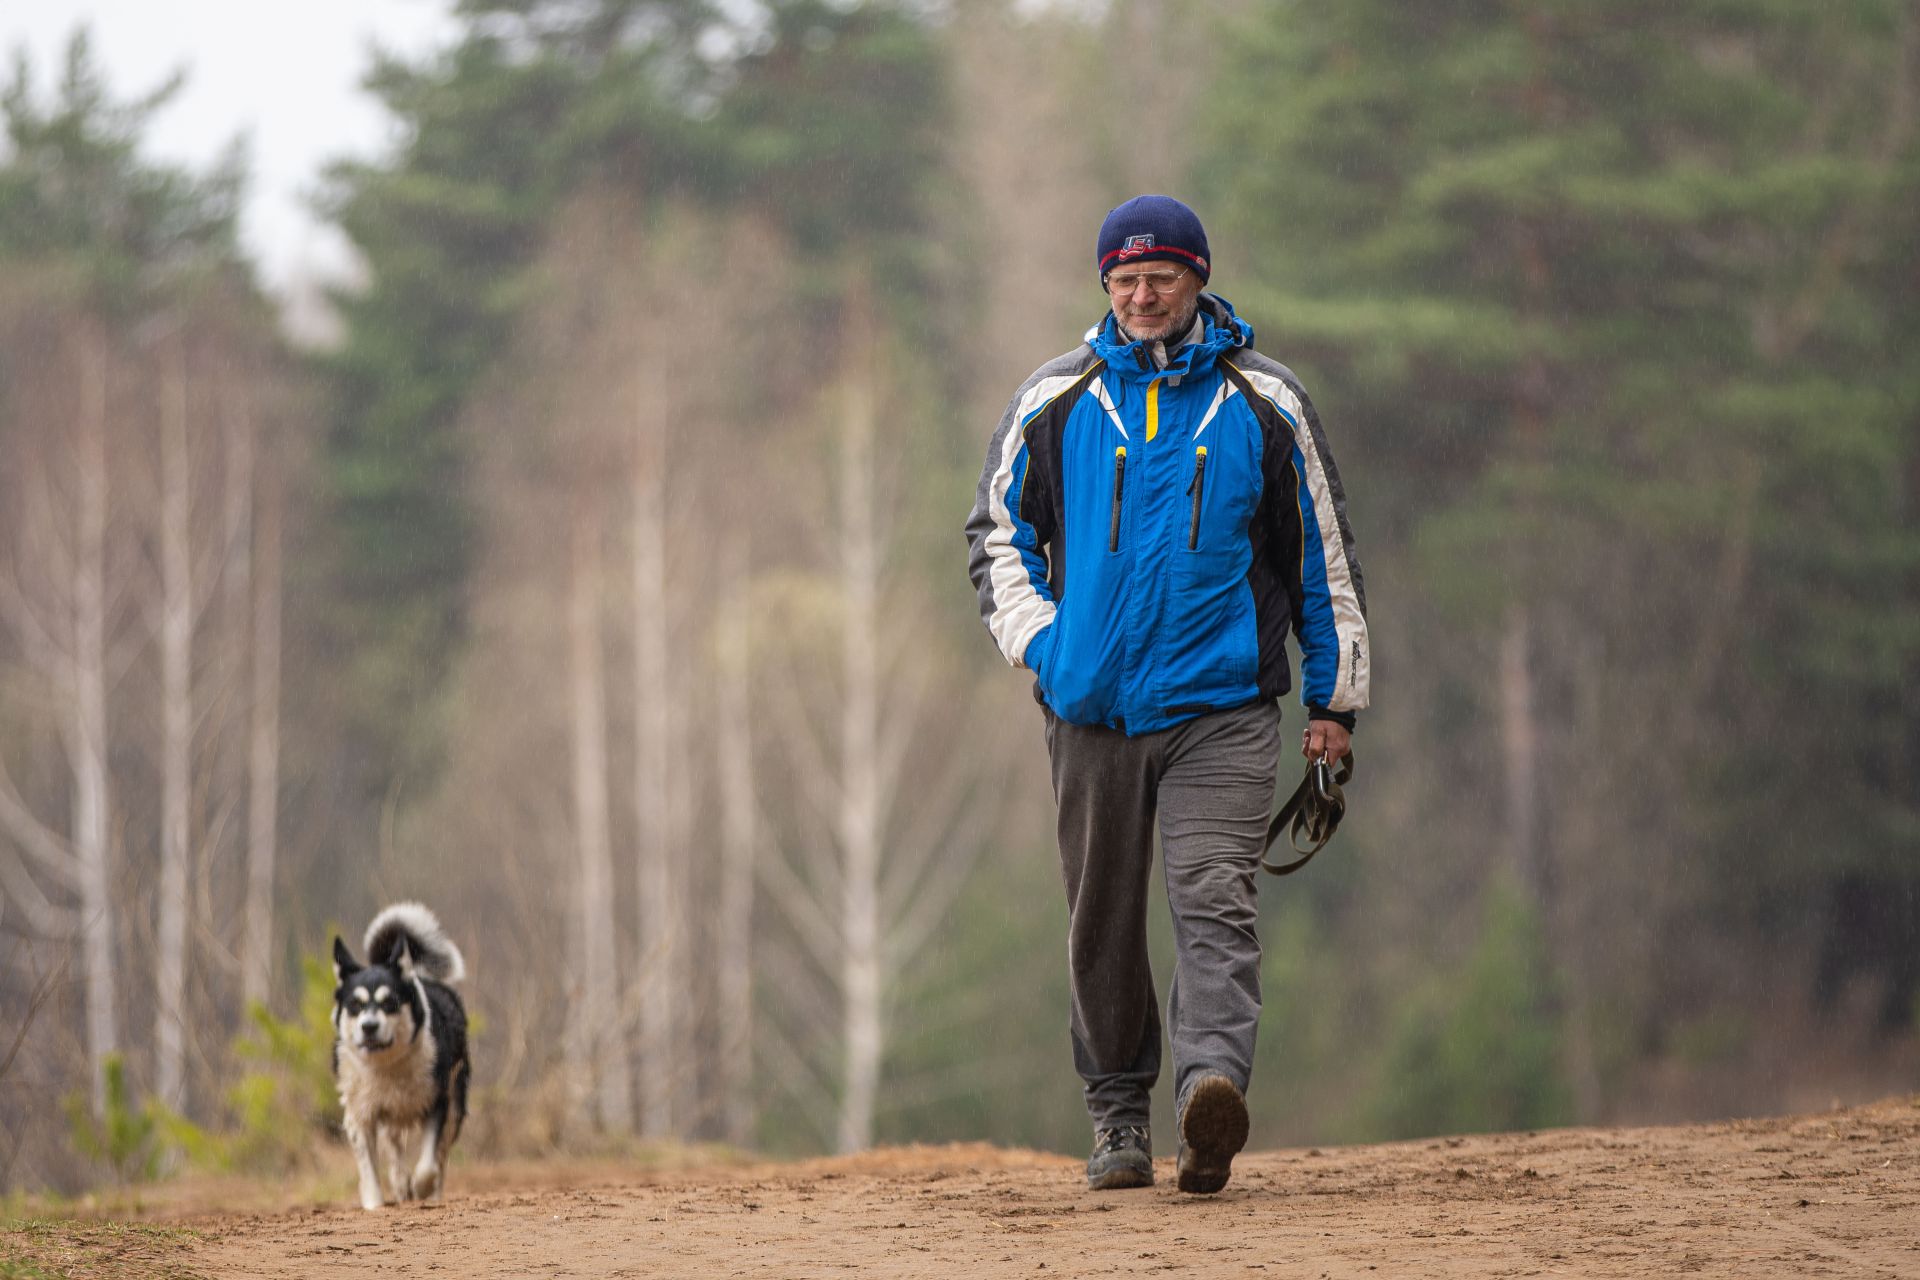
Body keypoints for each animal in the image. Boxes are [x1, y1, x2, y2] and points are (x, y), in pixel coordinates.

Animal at [332, 901, 470, 1212]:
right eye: (355, 1005)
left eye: (390, 1002)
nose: (369, 1026)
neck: (388, 1066)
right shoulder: (361, 1112)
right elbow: (369, 1166)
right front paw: (375, 1202)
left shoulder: (437, 1102)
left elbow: (429, 1165)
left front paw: (422, 1187)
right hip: (390, 1118)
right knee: (394, 1150)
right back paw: (400, 1183)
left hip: (455, 1103)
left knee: (441, 1154)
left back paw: (428, 1191)